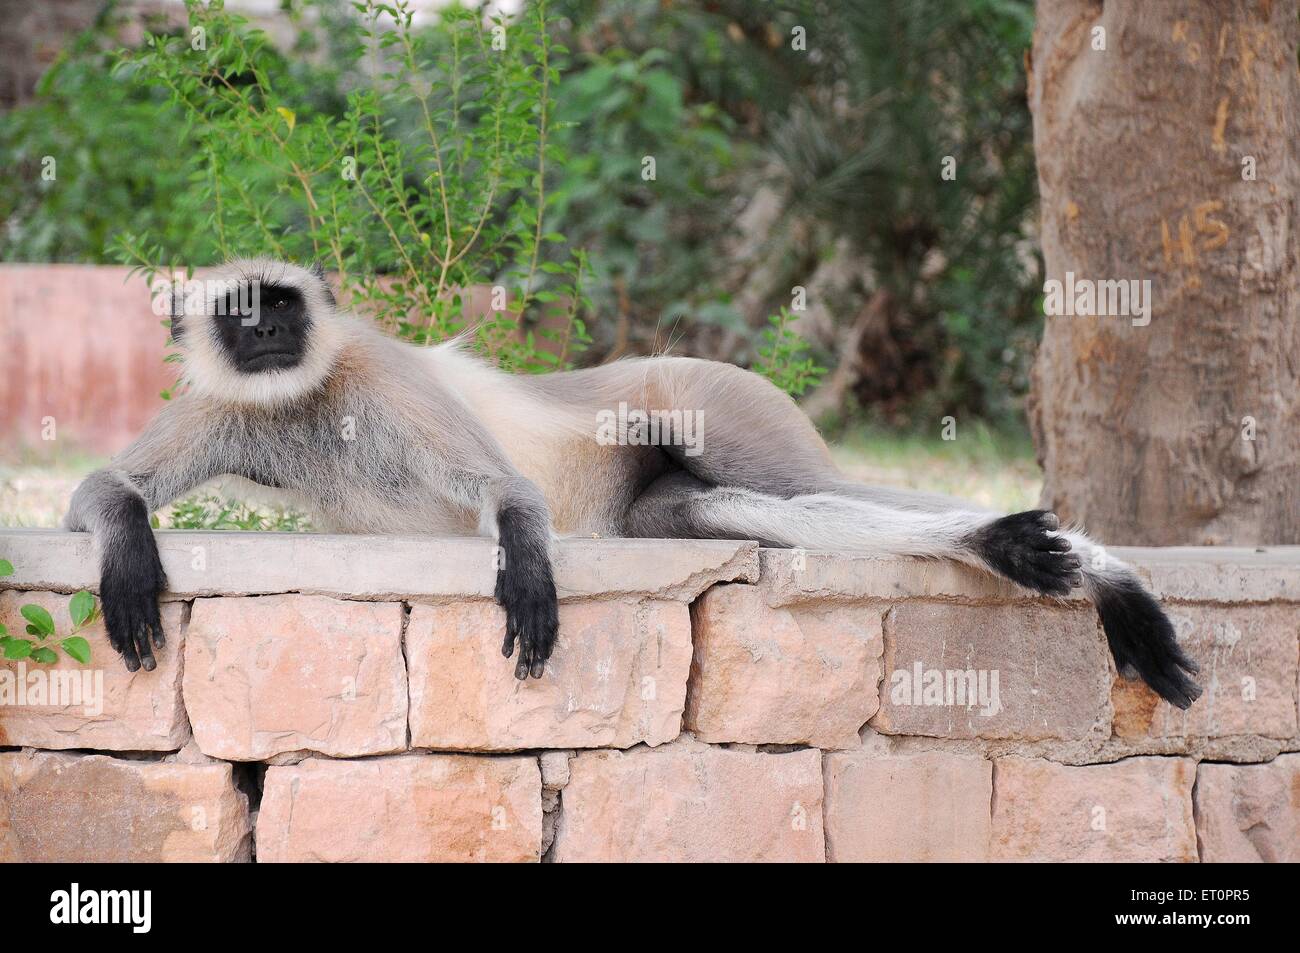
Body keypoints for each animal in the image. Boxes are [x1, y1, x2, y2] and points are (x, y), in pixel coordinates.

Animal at [61, 260, 1196, 707]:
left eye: (282, 304)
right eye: (240, 313)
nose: (264, 333)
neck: (307, 398)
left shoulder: (380, 376)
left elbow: (509, 493)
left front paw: (525, 565)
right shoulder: (234, 408)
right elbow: (99, 493)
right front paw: (126, 558)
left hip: (713, 398)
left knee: (793, 483)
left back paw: (1074, 566)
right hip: (660, 495)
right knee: (729, 508)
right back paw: (1013, 550)